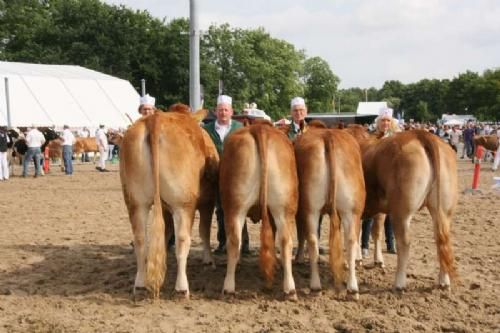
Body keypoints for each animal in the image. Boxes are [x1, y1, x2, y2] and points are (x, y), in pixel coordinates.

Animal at [119, 104, 219, 298]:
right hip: (183, 204)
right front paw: (209, 260)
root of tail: (155, 119)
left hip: (135, 202)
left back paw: (140, 284)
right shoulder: (207, 202)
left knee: (140, 239)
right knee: (183, 239)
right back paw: (182, 288)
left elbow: (166, 233)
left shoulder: (165, 207)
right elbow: (204, 231)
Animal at [219, 122, 296, 298]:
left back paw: (228, 287)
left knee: (234, 240)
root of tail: (259, 128)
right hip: (281, 209)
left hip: (235, 207)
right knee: (285, 240)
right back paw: (289, 289)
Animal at [294, 124, 366, 298]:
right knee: (350, 239)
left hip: (312, 209)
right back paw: (351, 288)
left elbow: (301, 234)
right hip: (350, 210)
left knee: (313, 239)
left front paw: (299, 258)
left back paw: (317, 286)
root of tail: (328, 136)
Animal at [346, 126, 458, 292]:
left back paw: (399, 283)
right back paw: (444, 281)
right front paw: (375, 260)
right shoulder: (378, 208)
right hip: (443, 210)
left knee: (405, 242)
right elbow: (375, 232)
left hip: (401, 211)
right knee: (441, 239)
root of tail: (420, 134)